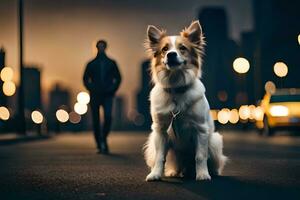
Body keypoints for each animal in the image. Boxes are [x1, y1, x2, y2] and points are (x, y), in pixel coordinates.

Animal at [144, 20, 227, 181]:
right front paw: (155, 174)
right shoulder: (160, 130)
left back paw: (208, 172)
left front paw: (202, 175)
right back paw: (175, 171)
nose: (171, 54)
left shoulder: (201, 129)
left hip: (214, 141)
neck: (176, 88)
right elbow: (159, 157)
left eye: (182, 48)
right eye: (165, 49)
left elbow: (200, 156)